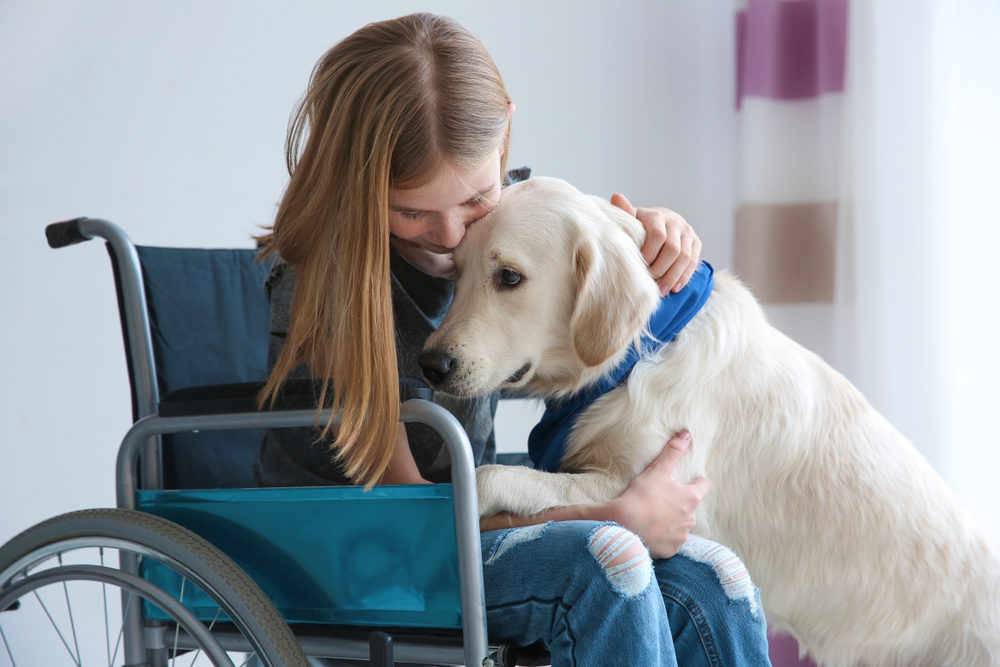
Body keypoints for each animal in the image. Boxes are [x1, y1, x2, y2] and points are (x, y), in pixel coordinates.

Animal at [416, 175, 1000, 664]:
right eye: (457, 274)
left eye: (509, 277)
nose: (431, 364)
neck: (632, 359)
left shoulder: (646, 480)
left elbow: (498, 474)